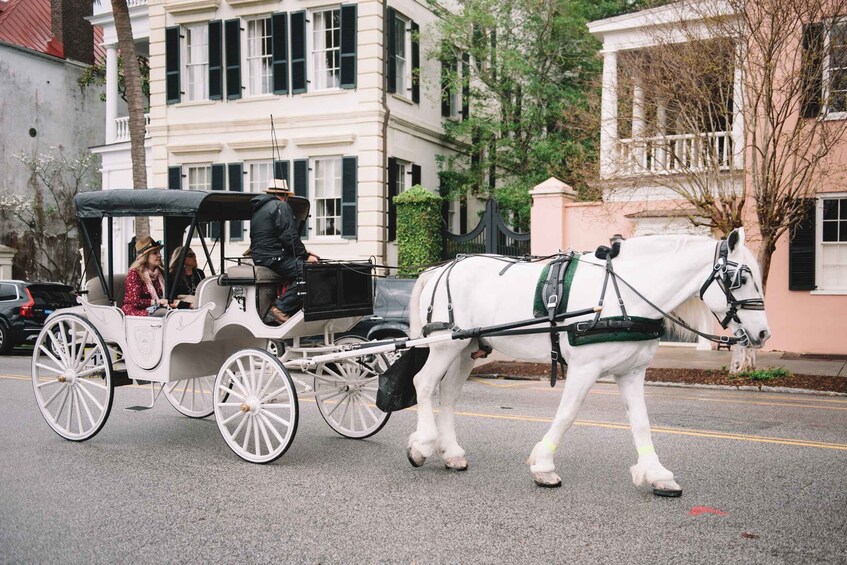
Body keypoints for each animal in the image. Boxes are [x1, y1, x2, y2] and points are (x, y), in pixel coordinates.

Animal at [408, 228, 772, 494]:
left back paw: (452, 453)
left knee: (449, 396)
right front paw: (543, 466)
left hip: (466, 347)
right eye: (741, 278)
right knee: (423, 384)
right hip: (444, 345)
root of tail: (440, 268)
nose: (764, 333)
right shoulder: (585, 368)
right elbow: (567, 414)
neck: (621, 296)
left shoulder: (631, 372)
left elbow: (641, 423)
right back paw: (422, 445)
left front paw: (657, 474)